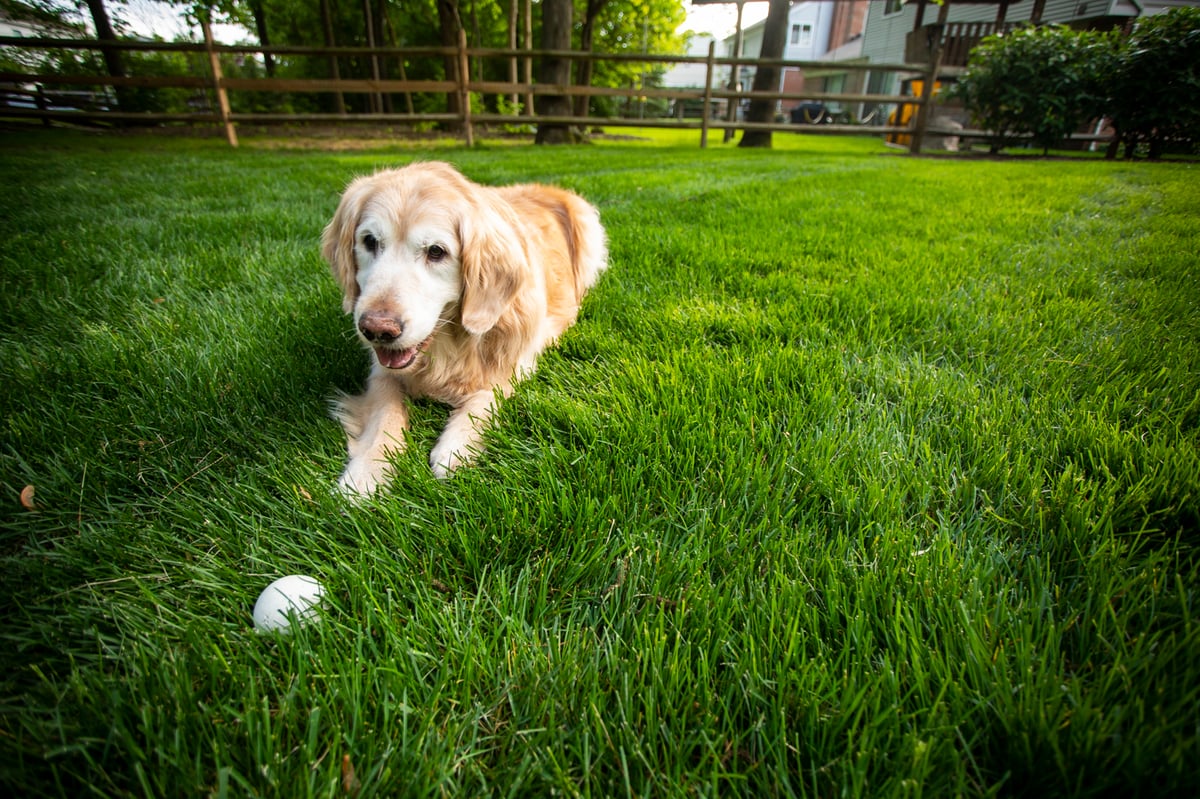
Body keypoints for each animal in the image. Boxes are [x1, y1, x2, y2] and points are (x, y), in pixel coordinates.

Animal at [319, 161, 604, 494]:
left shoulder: (518, 359)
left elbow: (487, 395)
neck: (448, 342)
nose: (377, 329)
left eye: (436, 251)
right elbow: (384, 411)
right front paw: (366, 473)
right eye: (369, 241)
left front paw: (456, 445)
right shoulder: (381, 370)